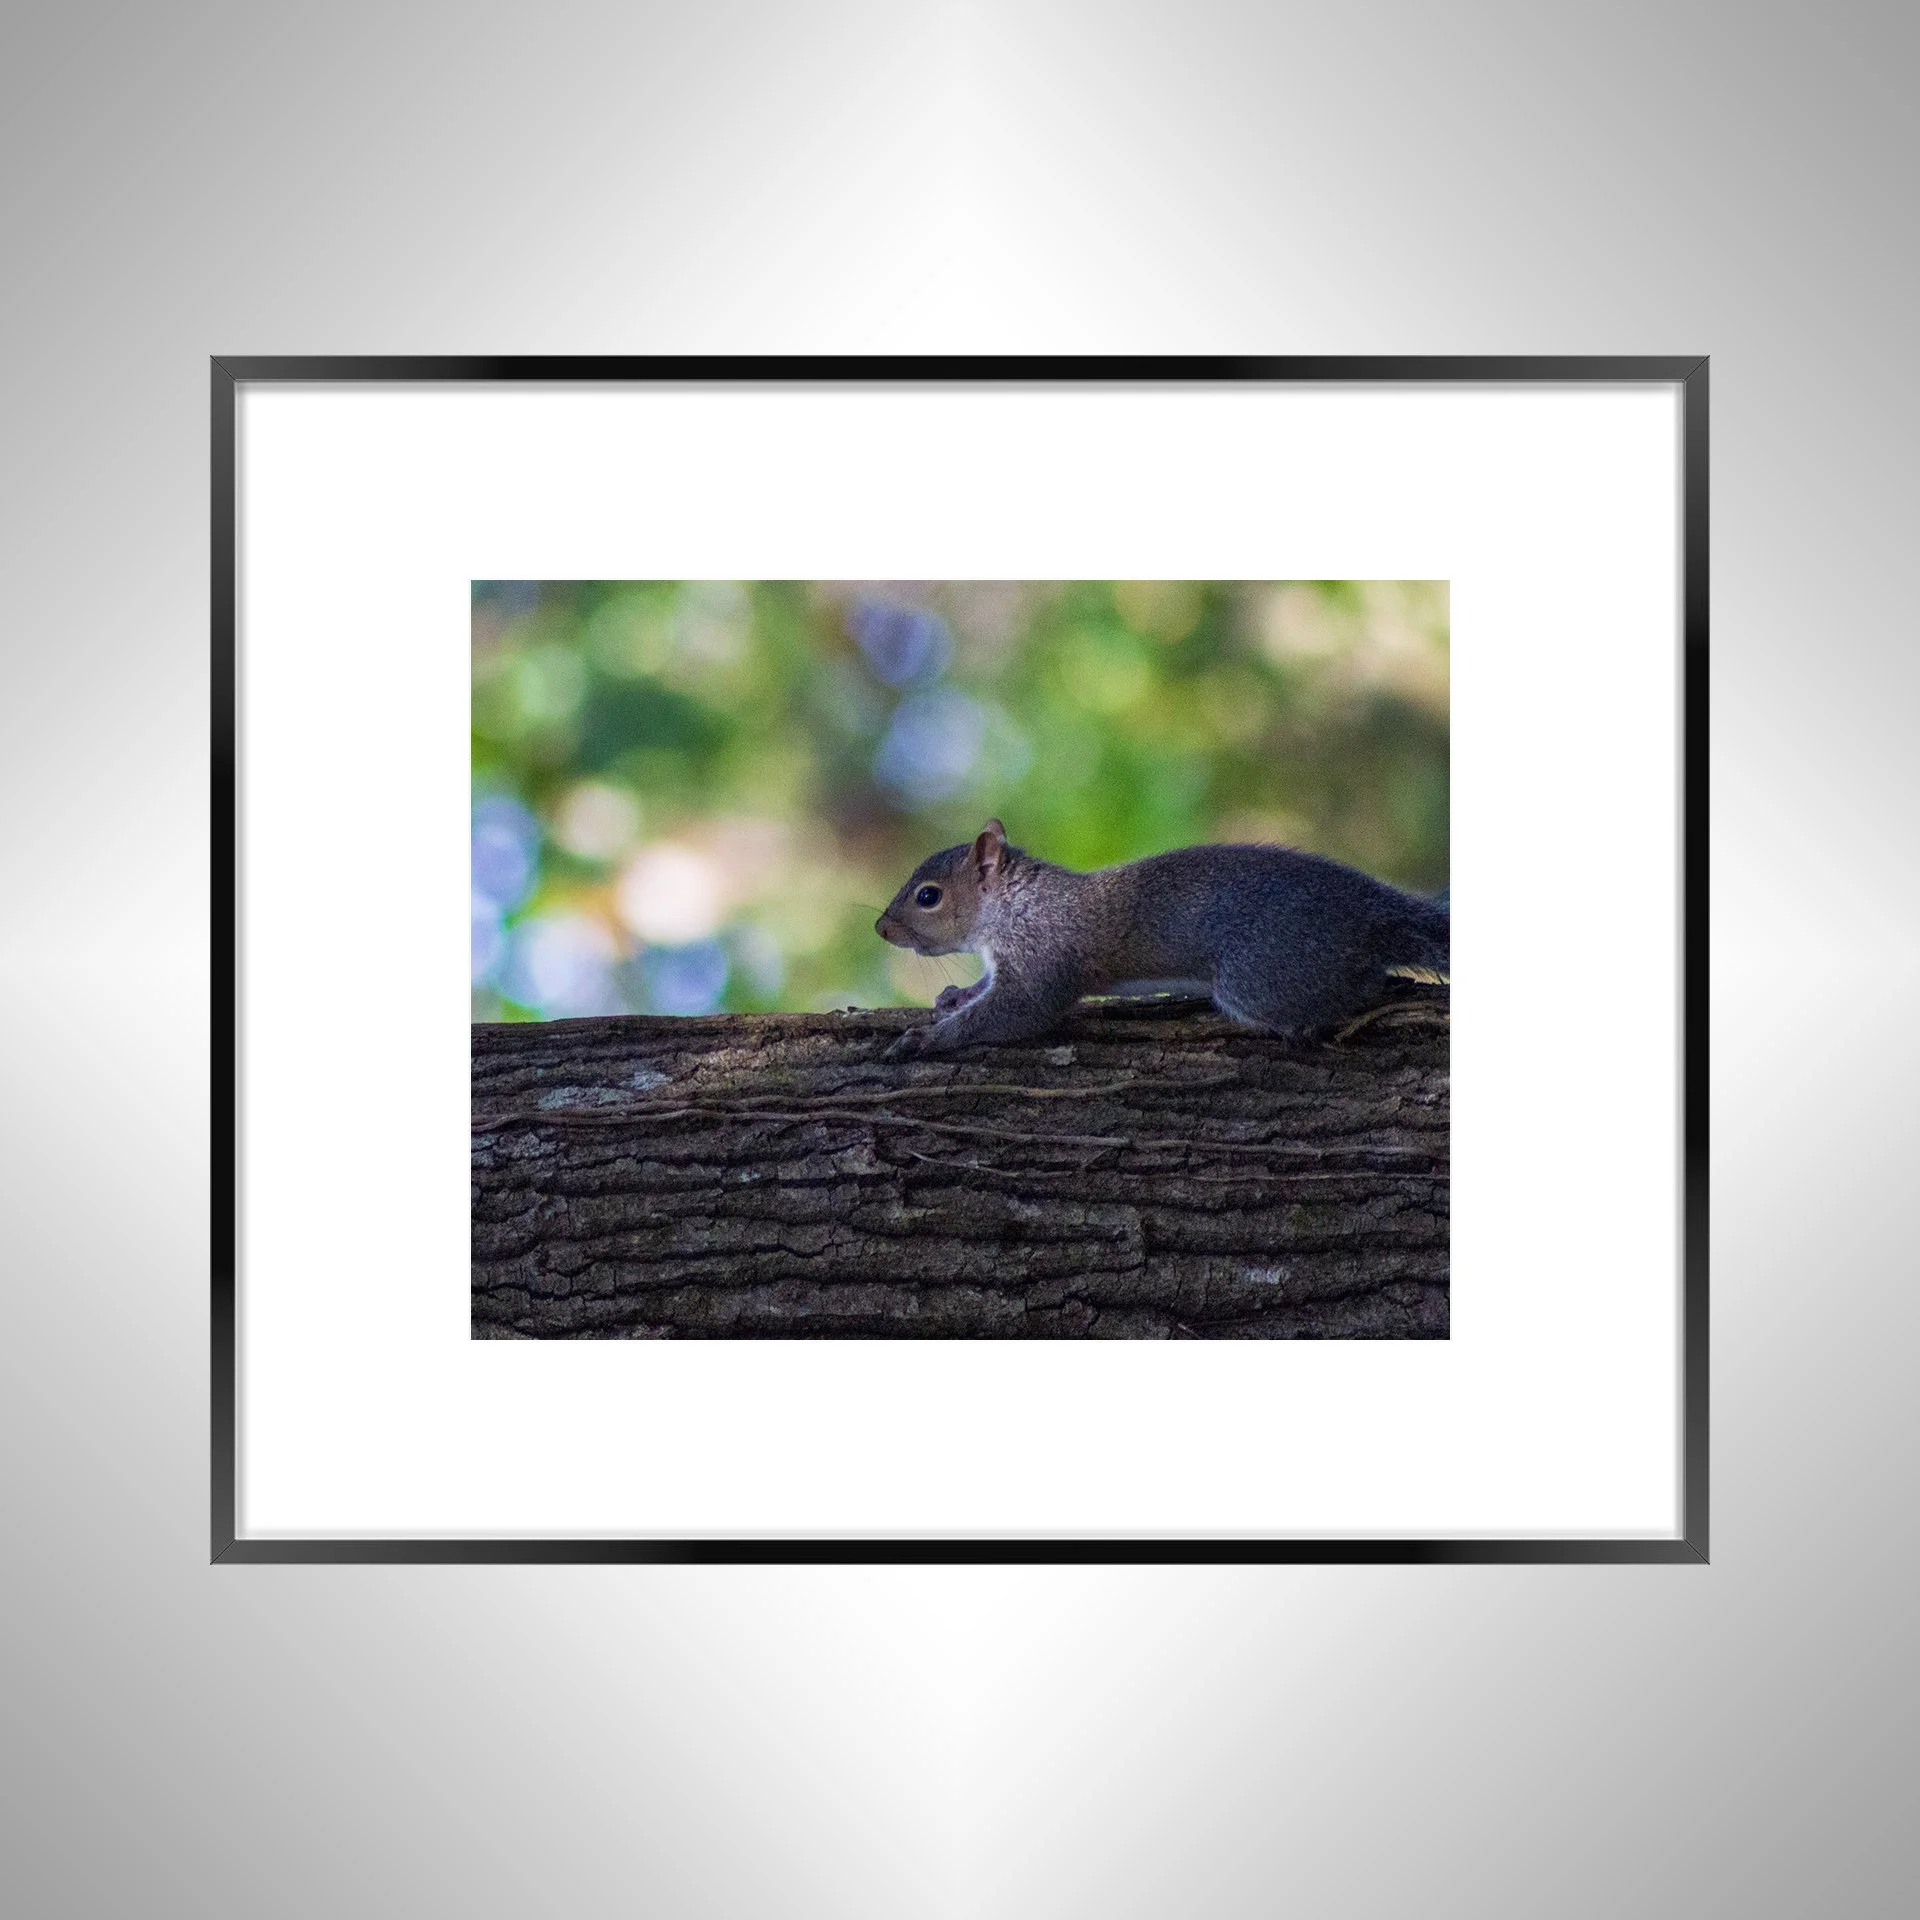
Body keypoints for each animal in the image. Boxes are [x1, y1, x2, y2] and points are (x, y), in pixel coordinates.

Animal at [876, 819, 1448, 1058]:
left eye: (928, 896)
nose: (881, 928)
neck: (1013, 906)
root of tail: (1371, 912)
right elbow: (985, 991)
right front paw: (957, 995)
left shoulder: (1042, 956)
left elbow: (1021, 1009)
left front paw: (930, 1039)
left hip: (1259, 977)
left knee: (1362, 985)